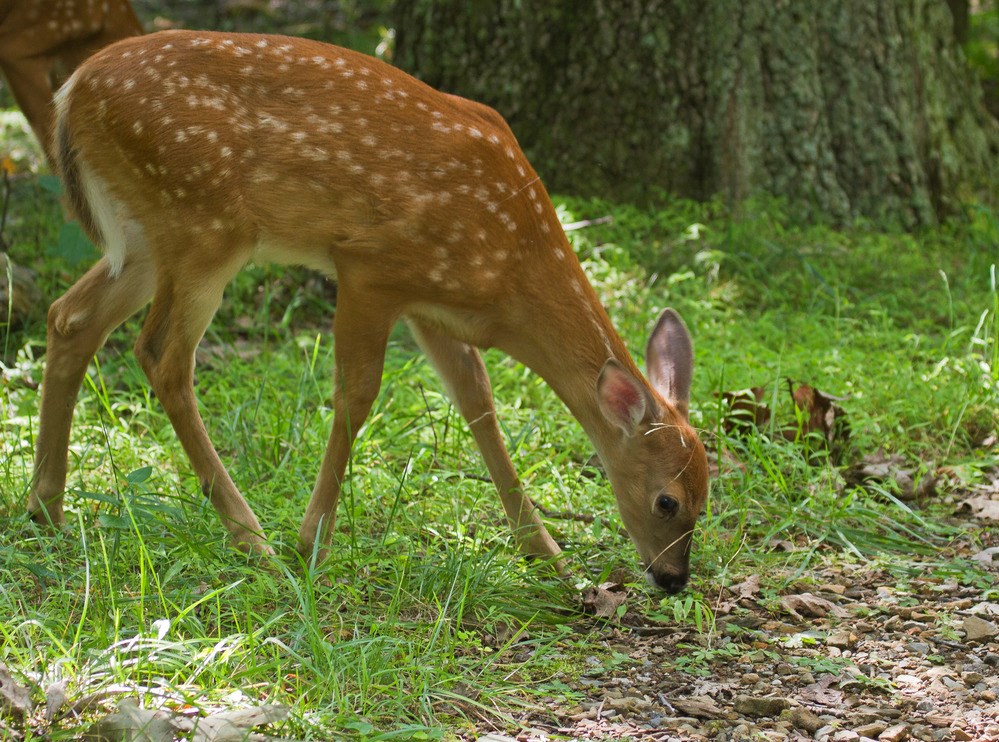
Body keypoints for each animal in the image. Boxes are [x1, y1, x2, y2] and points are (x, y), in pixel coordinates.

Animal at [28, 30, 710, 593]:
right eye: (668, 502)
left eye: (708, 496)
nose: (674, 579)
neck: (510, 269)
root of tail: (70, 90)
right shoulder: (370, 267)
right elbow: (357, 395)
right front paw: (312, 544)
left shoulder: (433, 307)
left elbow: (479, 404)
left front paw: (549, 557)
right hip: (202, 225)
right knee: (161, 355)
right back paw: (253, 540)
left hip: (146, 236)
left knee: (70, 317)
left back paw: (45, 509)